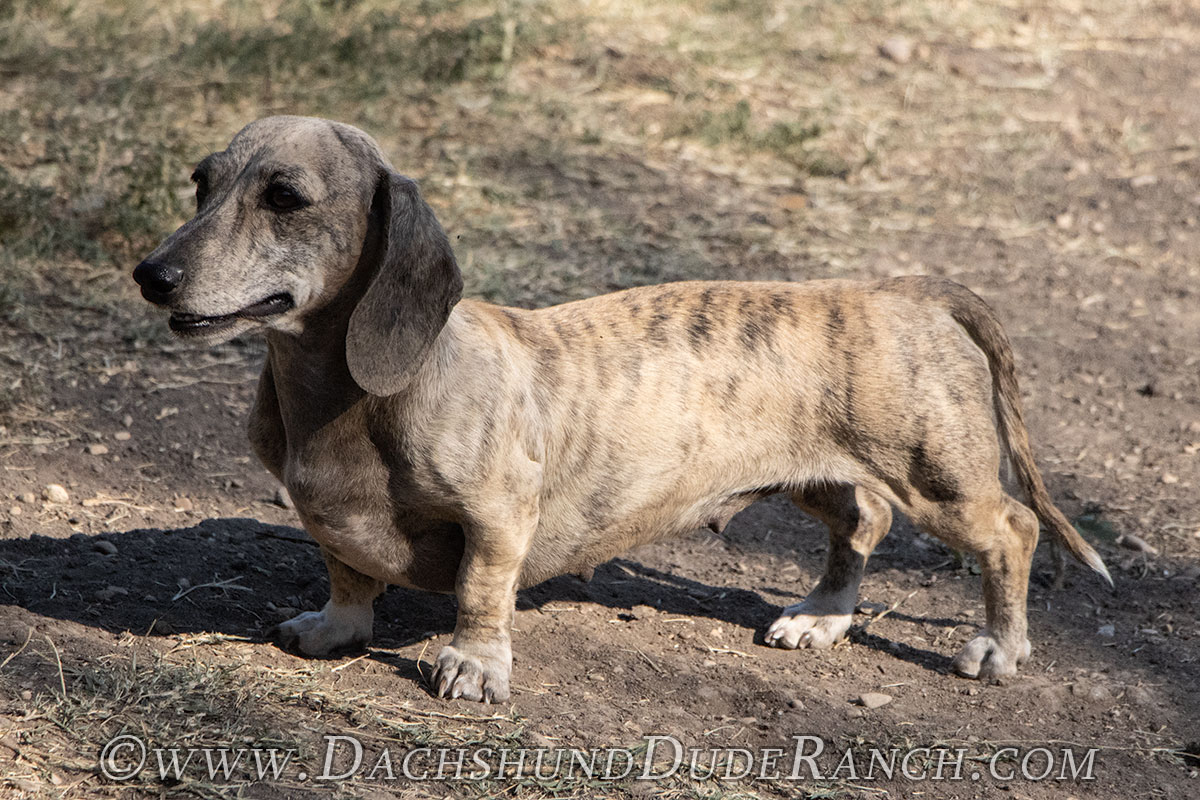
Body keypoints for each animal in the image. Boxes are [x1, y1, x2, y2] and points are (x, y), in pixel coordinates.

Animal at [134, 116, 1110, 703]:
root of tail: (900, 291)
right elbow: (346, 573)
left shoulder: (499, 516)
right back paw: (821, 617)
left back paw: (999, 648)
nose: (151, 274)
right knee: (861, 525)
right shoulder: (330, 521)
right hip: (820, 478)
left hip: (939, 478)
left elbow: (480, 593)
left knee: (1013, 530)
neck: (348, 401)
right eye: (201, 183)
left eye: (285, 197)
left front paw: (473, 667)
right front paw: (334, 628)